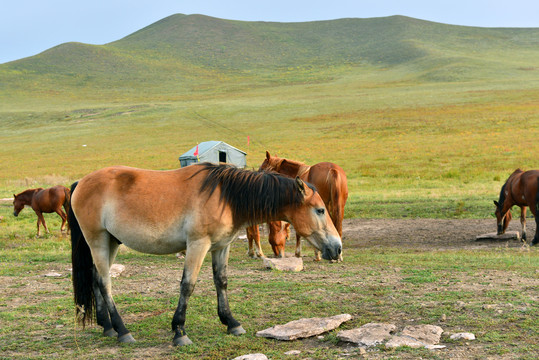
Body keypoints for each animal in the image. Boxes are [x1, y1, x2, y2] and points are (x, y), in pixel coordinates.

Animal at [68, 163, 342, 346]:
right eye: (319, 210)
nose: (337, 248)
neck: (226, 196)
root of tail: (80, 183)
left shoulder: (221, 246)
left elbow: (221, 281)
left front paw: (231, 323)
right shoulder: (197, 245)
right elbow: (187, 285)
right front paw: (179, 331)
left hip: (111, 242)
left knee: (96, 280)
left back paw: (107, 328)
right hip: (98, 241)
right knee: (105, 283)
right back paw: (123, 330)